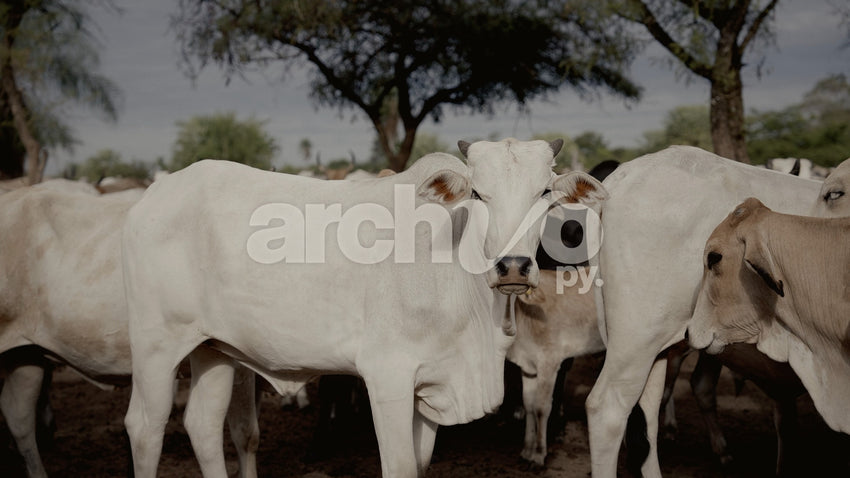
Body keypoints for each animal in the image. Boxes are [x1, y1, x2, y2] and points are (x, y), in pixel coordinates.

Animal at [120, 138, 607, 478]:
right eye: (478, 194)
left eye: (544, 193)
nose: (513, 267)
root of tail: (155, 195)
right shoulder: (386, 377)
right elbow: (400, 467)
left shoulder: (431, 385)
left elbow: (421, 465)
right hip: (155, 348)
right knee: (144, 429)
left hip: (213, 349)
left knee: (203, 426)